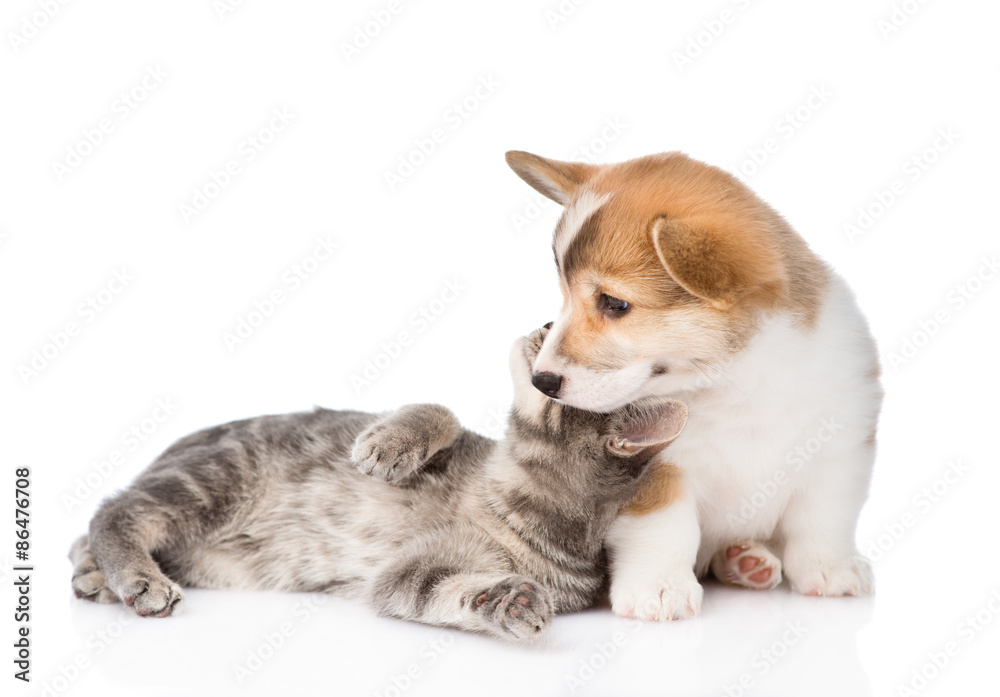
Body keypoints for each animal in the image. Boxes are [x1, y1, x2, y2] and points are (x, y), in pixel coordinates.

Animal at [66, 328, 684, 640]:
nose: (543, 324)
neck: (512, 493)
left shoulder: (405, 575)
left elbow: (437, 591)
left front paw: (503, 602)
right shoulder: (465, 443)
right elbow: (441, 410)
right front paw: (385, 444)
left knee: (107, 516)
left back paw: (105, 576)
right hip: (213, 478)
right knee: (114, 509)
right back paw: (131, 576)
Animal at [508, 150, 884, 616]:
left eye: (614, 303)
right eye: (562, 298)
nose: (541, 381)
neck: (735, 380)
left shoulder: (840, 449)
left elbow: (823, 518)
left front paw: (830, 570)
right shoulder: (655, 471)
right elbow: (665, 529)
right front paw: (659, 588)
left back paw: (748, 561)